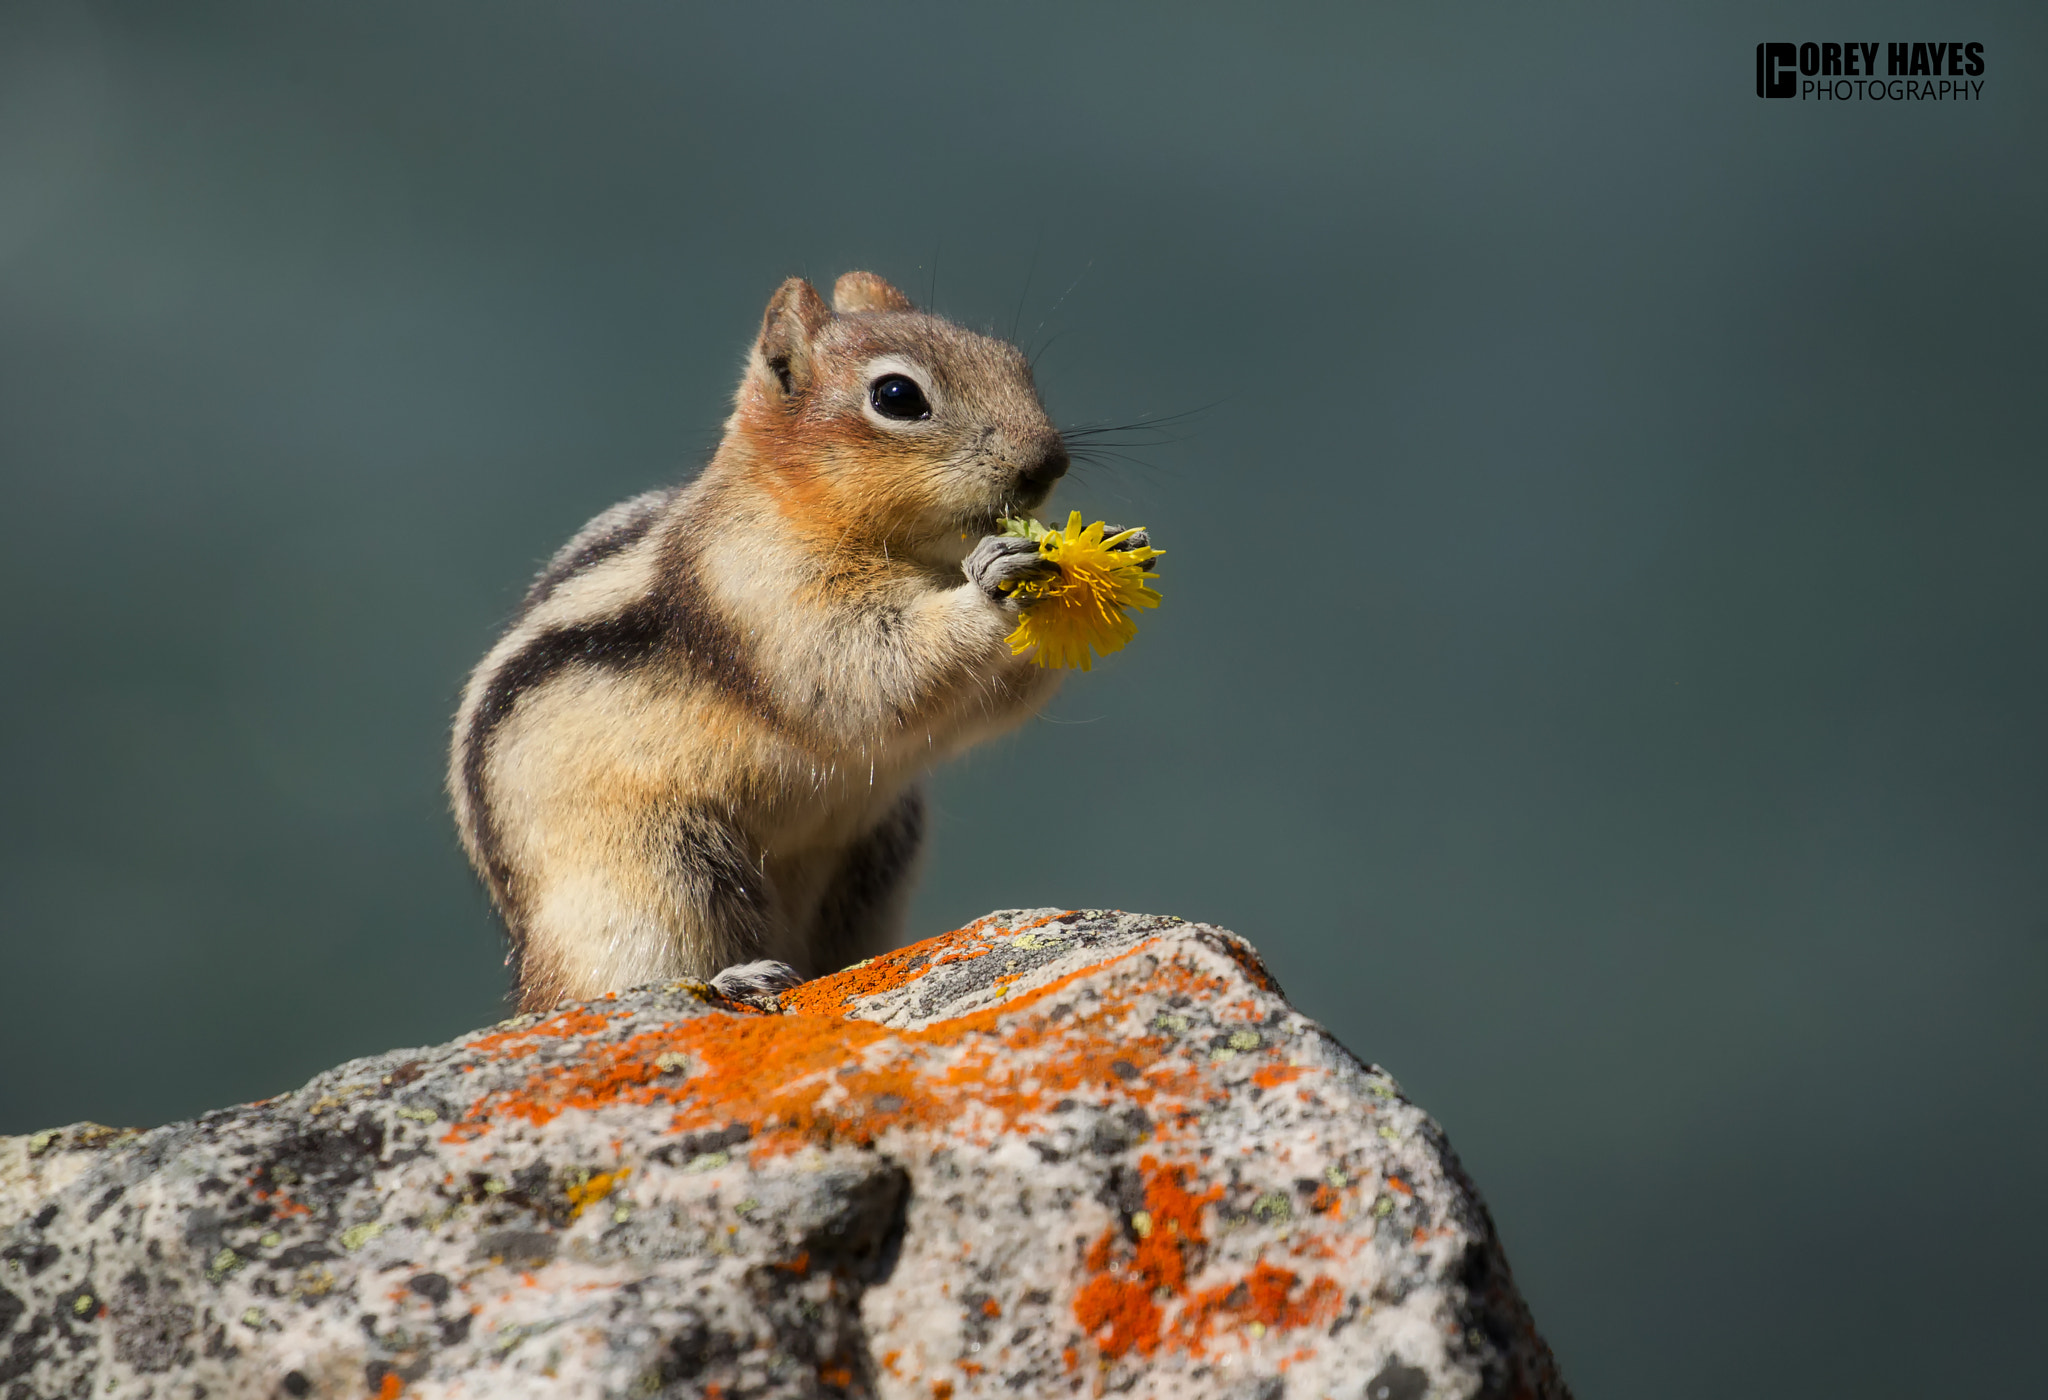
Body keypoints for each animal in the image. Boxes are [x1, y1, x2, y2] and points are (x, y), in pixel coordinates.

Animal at [452, 274, 1155, 1011]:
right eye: (897, 396)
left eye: (1013, 362)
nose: (1049, 463)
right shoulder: (767, 594)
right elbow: (866, 672)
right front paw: (995, 584)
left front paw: (1110, 551)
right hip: (650, 871)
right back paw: (734, 977)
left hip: (874, 858)